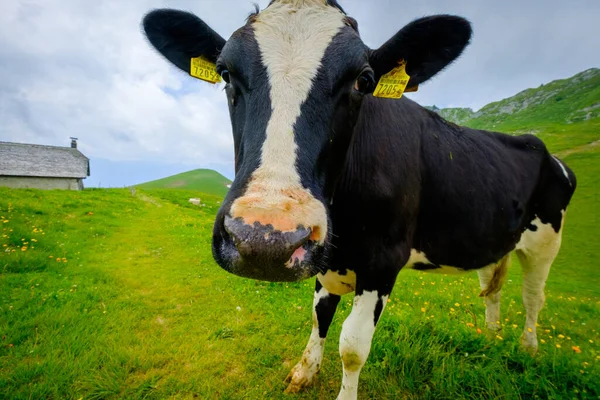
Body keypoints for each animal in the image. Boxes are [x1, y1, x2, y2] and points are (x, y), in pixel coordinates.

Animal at [142, 1, 576, 398]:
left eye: (364, 80)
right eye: (225, 72)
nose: (263, 239)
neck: (344, 230)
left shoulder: (382, 262)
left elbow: (352, 346)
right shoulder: (322, 255)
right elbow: (319, 316)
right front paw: (304, 372)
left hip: (547, 241)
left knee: (533, 296)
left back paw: (527, 348)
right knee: (492, 287)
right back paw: (490, 335)